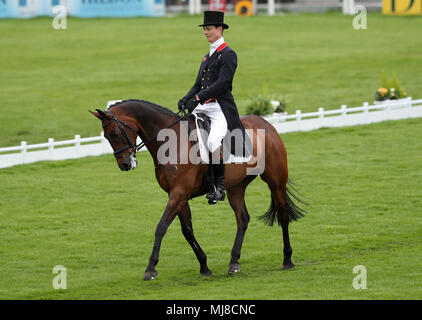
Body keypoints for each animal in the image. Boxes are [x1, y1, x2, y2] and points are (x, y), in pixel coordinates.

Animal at [90, 99, 306, 280]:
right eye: (106, 137)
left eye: (114, 133)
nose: (125, 164)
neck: (171, 142)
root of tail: (266, 124)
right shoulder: (178, 195)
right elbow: (187, 231)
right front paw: (204, 266)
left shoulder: (178, 194)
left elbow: (161, 227)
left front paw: (151, 268)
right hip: (236, 187)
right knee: (243, 219)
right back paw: (234, 262)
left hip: (275, 181)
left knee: (283, 215)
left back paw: (287, 260)